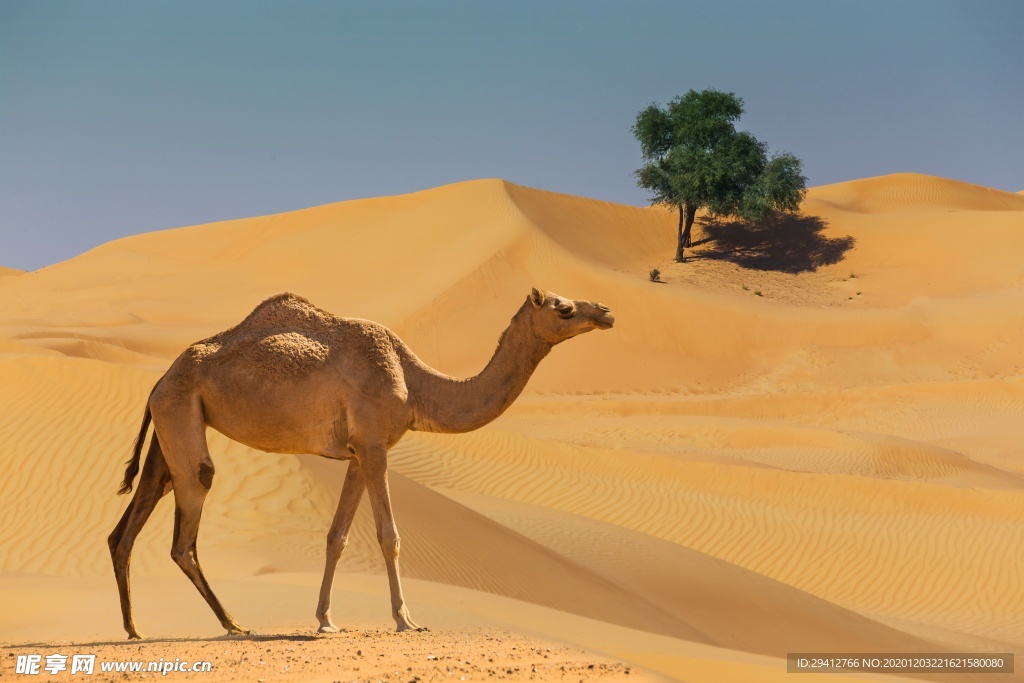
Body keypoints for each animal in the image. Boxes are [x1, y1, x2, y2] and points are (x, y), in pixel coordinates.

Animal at [108, 286, 610, 638]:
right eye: (563, 308)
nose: (605, 311)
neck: (414, 383)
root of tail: (159, 378)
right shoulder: (373, 444)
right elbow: (389, 535)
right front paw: (406, 620)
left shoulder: (356, 454)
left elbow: (337, 537)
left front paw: (325, 619)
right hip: (180, 413)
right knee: (186, 527)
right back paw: (233, 624)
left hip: (170, 424)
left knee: (128, 525)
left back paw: (135, 629)